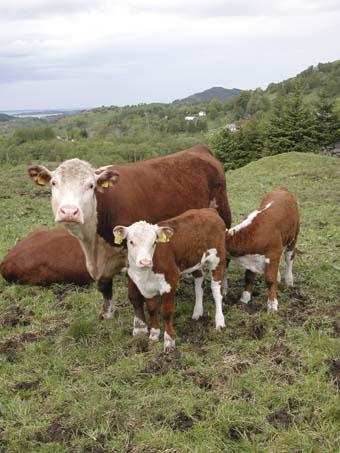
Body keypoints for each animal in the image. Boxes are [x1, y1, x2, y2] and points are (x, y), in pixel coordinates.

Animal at [28, 147, 231, 320]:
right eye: (54, 183)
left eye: (91, 185)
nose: (69, 211)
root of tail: (198, 148)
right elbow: (104, 286)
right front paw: (108, 313)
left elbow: (134, 294)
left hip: (223, 213)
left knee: (225, 258)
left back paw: (224, 288)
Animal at [113, 208, 227, 354]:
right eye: (131, 242)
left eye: (154, 242)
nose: (145, 262)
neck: (145, 275)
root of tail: (209, 210)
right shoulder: (146, 288)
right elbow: (152, 308)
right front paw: (154, 334)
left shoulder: (171, 281)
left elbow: (166, 312)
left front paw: (169, 341)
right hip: (194, 260)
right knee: (198, 283)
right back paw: (197, 312)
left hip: (217, 259)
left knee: (216, 290)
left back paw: (219, 322)